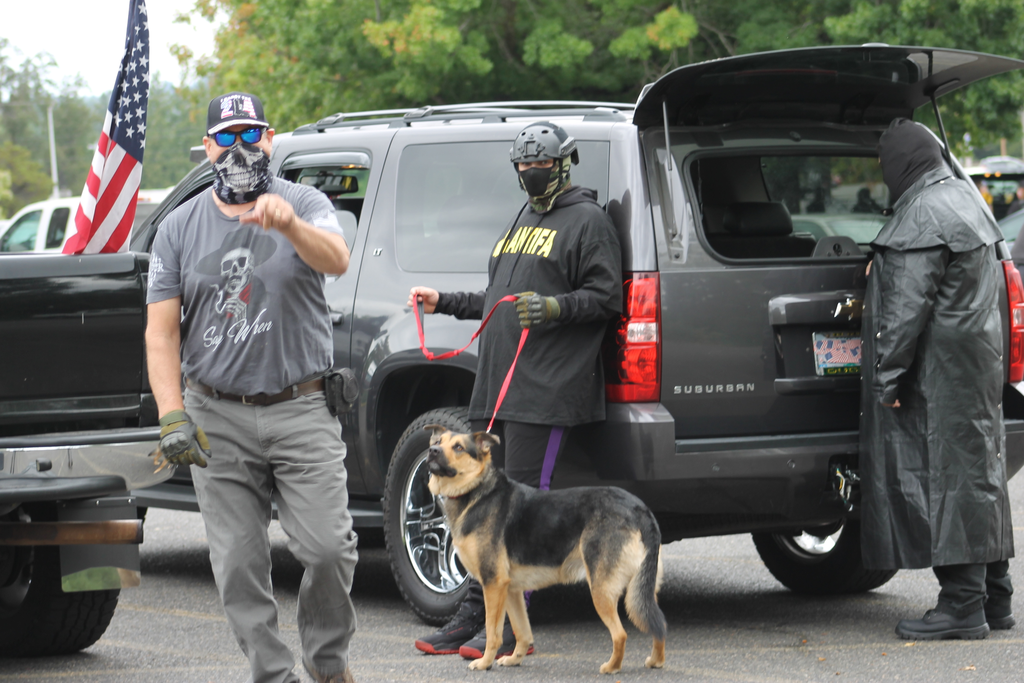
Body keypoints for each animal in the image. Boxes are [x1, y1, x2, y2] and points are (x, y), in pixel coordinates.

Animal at [421, 428, 667, 671]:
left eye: (458, 447)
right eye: (438, 441)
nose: (432, 451)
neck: (477, 489)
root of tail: (640, 508)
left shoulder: (493, 584)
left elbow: (493, 632)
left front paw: (484, 663)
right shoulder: (511, 590)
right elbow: (522, 631)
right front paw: (515, 659)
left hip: (601, 589)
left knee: (621, 634)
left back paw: (611, 667)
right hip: (643, 588)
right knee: (658, 622)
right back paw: (656, 661)